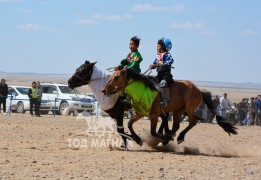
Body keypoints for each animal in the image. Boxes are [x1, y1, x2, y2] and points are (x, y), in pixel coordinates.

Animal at [101, 68, 238, 146]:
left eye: (116, 77)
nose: (104, 90)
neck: (144, 90)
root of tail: (199, 90)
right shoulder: (141, 113)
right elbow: (129, 124)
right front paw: (138, 140)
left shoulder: (154, 115)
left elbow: (153, 131)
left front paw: (165, 137)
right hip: (178, 110)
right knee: (176, 125)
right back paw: (168, 139)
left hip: (189, 108)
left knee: (192, 122)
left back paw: (177, 138)